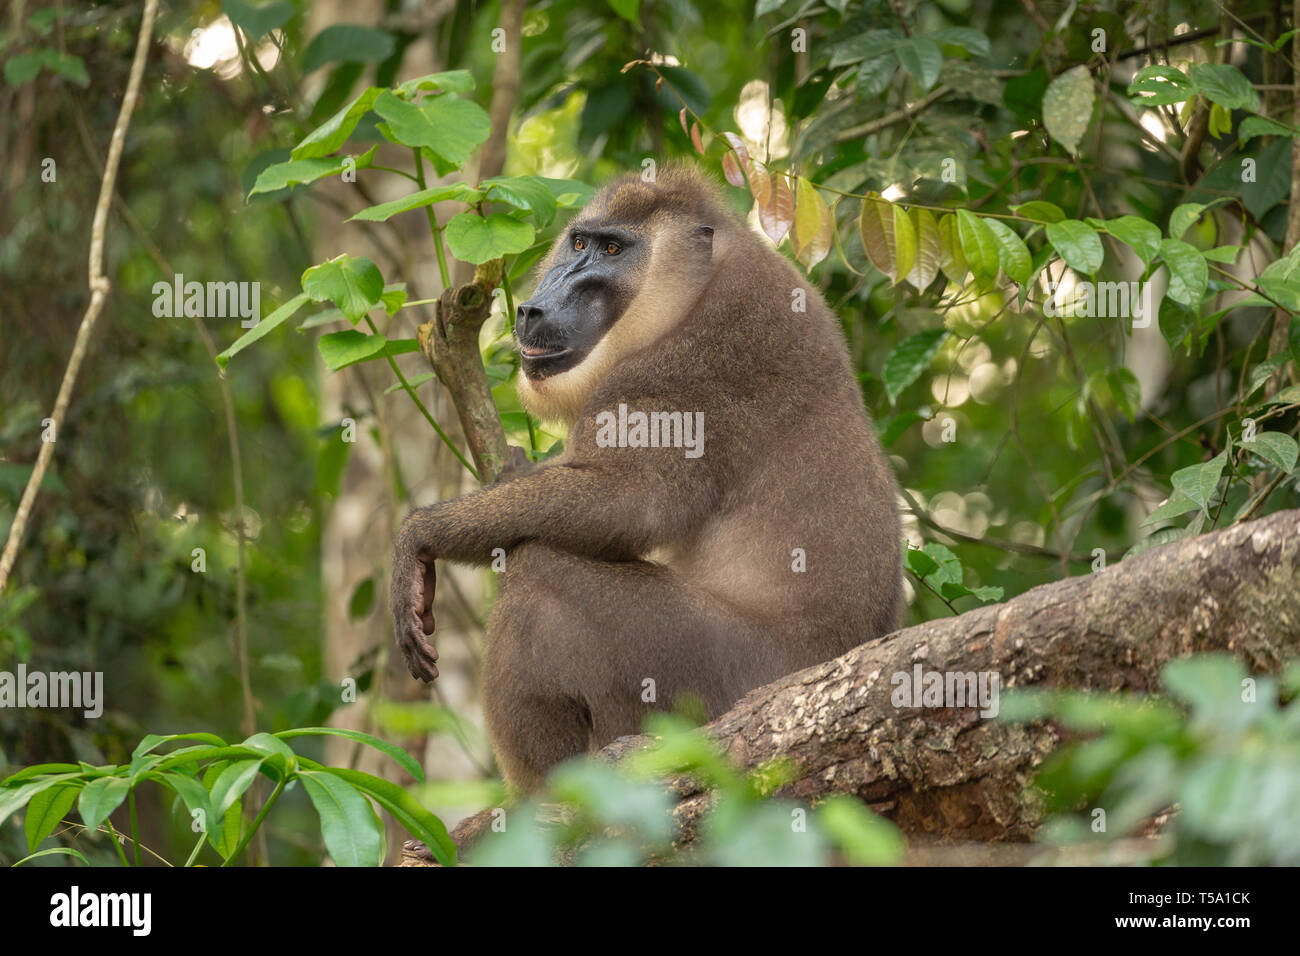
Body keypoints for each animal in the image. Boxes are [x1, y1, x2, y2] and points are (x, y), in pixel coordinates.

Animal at [391, 164, 901, 790]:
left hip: (712, 674)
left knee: (540, 575)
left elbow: (628, 504)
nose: (534, 308)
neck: (696, 286)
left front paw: (420, 536)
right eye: (579, 243)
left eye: (613, 250)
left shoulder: (679, 377)